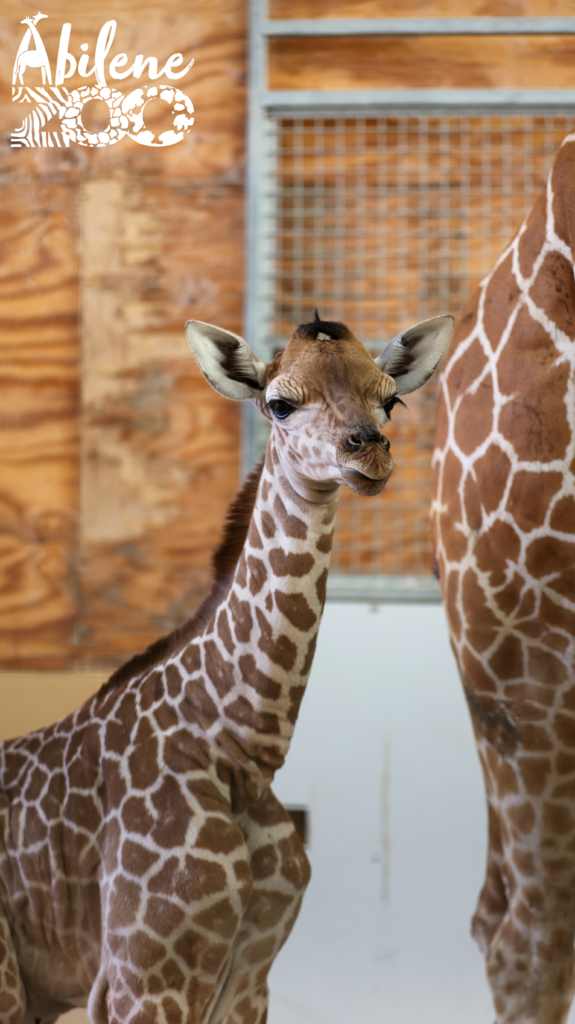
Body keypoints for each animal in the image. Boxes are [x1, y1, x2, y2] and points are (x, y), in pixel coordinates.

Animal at [0, 311, 450, 1024]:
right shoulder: (143, 977)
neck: (240, 746)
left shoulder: (249, 979)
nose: (370, 454)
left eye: (391, 400)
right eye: (279, 404)